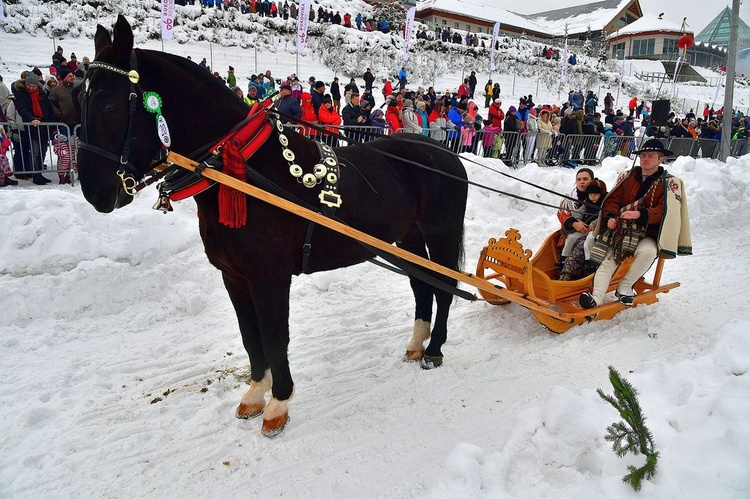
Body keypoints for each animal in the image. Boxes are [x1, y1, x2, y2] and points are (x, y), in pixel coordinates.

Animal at [79, 15, 470, 438]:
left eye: (108, 101)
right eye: (83, 98)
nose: (94, 191)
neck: (244, 172)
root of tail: (446, 154)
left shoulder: (269, 275)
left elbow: (274, 335)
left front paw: (278, 403)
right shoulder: (234, 276)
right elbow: (251, 336)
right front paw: (255, 393)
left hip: (440, 233)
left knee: (444, 289)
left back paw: (434, 350)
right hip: (408, 237)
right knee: (422, 287)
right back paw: (417, 345)